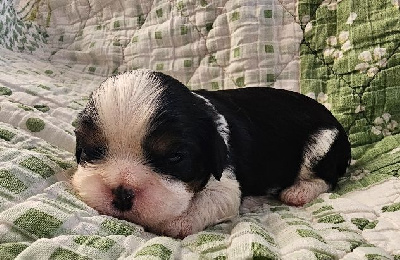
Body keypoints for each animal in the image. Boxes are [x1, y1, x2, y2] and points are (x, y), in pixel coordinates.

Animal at [72, 69, 350, 238]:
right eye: (92, 150)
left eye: (175, 157)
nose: (121, 192)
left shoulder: (225, 184)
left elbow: (205, 203)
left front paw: (174, 221)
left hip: (323, 144)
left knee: (328, 178)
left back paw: (299, 191)